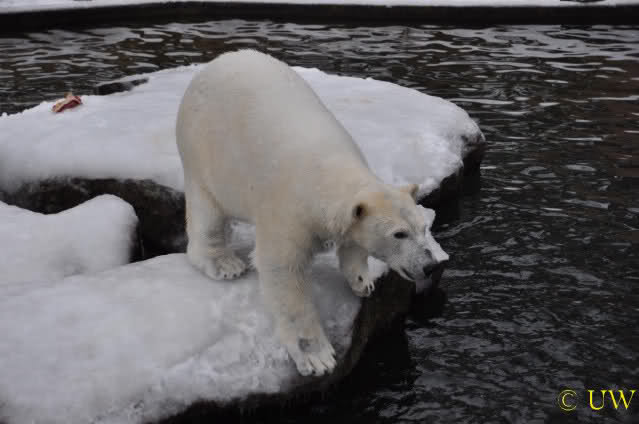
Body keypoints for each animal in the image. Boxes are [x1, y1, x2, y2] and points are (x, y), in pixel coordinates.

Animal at [176, 50, 449, 377]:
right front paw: (317, 357)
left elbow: (353, 243)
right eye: (399, 234)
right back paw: (224, 263)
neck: (325, 174)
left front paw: (362, 281)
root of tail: (216, 63)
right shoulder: (286, 212)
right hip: (203, 148)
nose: (430, 265)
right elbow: (283, 272)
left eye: (423, 228)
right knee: (208, 211)